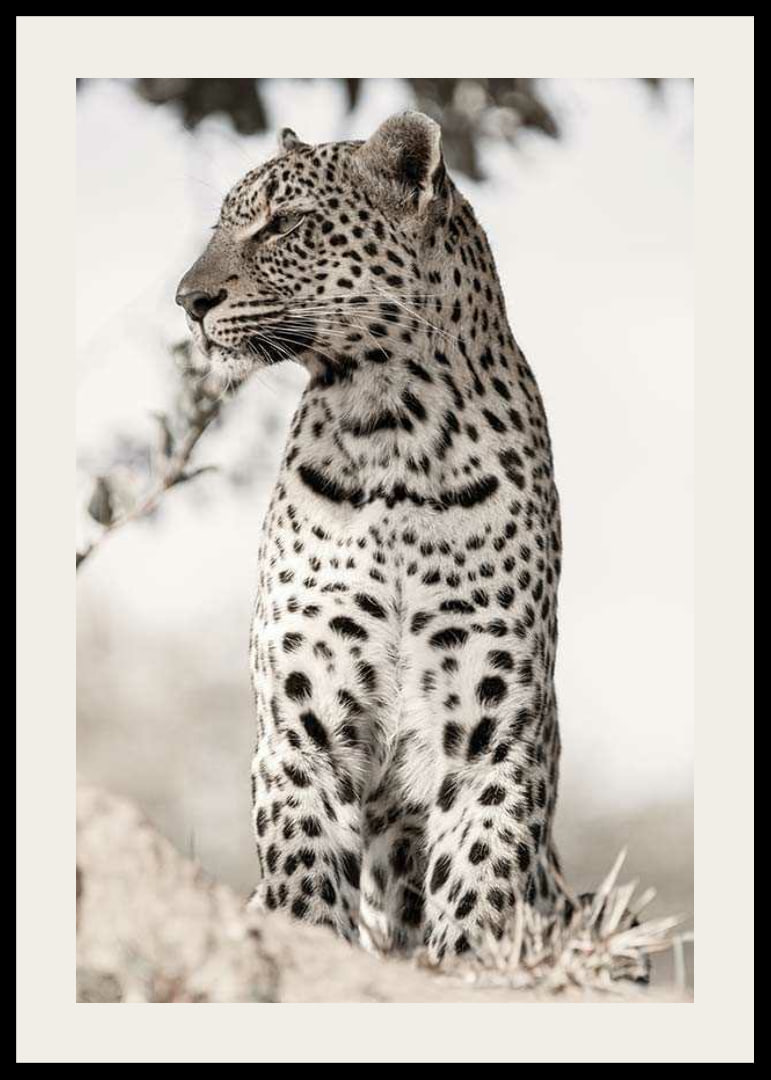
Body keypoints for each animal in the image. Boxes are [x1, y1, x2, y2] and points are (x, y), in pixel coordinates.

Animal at [176, 112, 564, 964]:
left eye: (283, 224)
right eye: (223, 223)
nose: (187, 300)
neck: (392, 429)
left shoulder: (491, 736)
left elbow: (477, 887)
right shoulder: (302, 725)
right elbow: (303, 881)